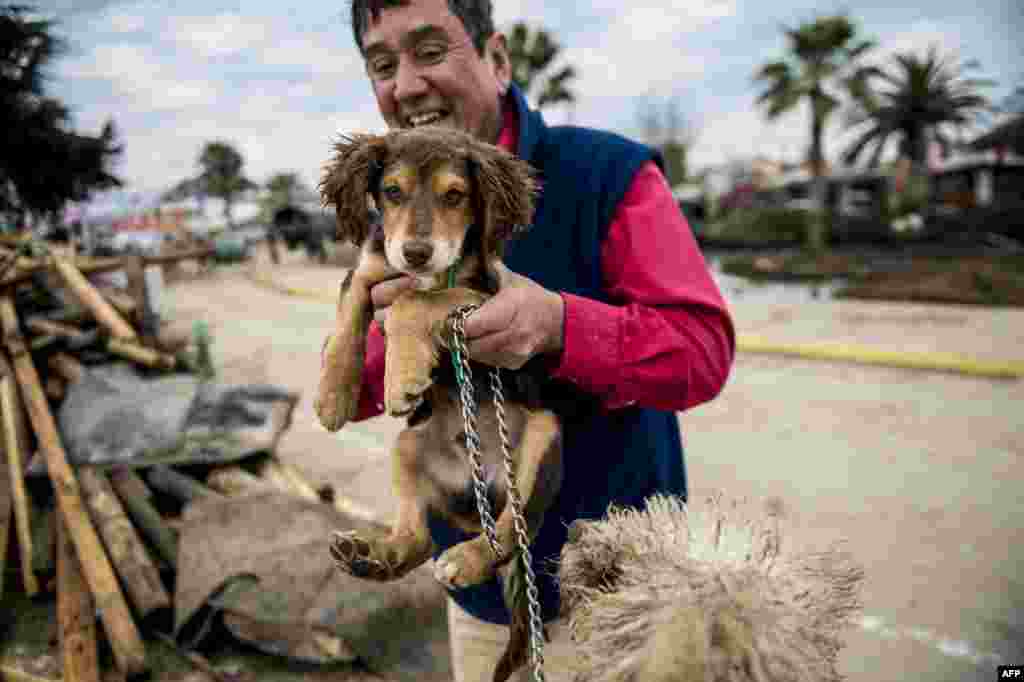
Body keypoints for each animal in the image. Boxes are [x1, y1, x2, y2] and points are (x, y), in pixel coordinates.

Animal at [315, 125, 565, 675]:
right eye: (392, 192)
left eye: (455, 196)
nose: (415, 253)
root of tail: (474, 503)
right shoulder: (369, 267)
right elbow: (350, 311)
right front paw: (333, 395)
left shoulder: (485, 299)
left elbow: (417, 299)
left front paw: (402, 375)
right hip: (408, 445)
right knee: (418, 537)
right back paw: (371, 557)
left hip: (543, 436)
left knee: (512, 533)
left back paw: (466, 559)